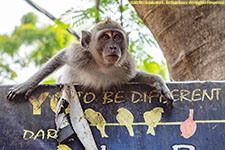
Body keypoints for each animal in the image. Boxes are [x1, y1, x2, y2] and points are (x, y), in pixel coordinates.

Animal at [6, 18, 172, 108]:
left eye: (117, 37)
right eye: (105, 37)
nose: (113, 47)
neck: (103, 65)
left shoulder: (126, 66)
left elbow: (133, 77)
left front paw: (159, 82)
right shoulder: (79, 56)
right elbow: (61, 57)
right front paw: (26, 85)